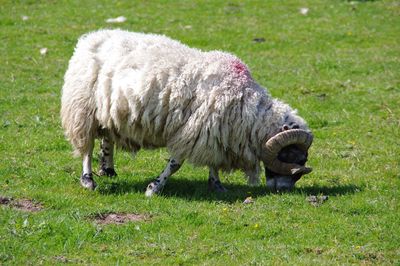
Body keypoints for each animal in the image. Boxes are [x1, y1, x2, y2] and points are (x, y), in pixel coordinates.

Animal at [61, 29, 314, 195]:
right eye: (296, 158)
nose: (282, 190)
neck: (248, 106)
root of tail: (91, 37)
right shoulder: (195, 130)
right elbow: (175, 164)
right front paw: (154, 187)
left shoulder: (214, 131)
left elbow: (213, 160)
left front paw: (217, 185)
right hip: (82, 109)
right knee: (86, 147)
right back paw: (88, 180)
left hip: (107, 111)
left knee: (107, 138)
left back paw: (108, 168)